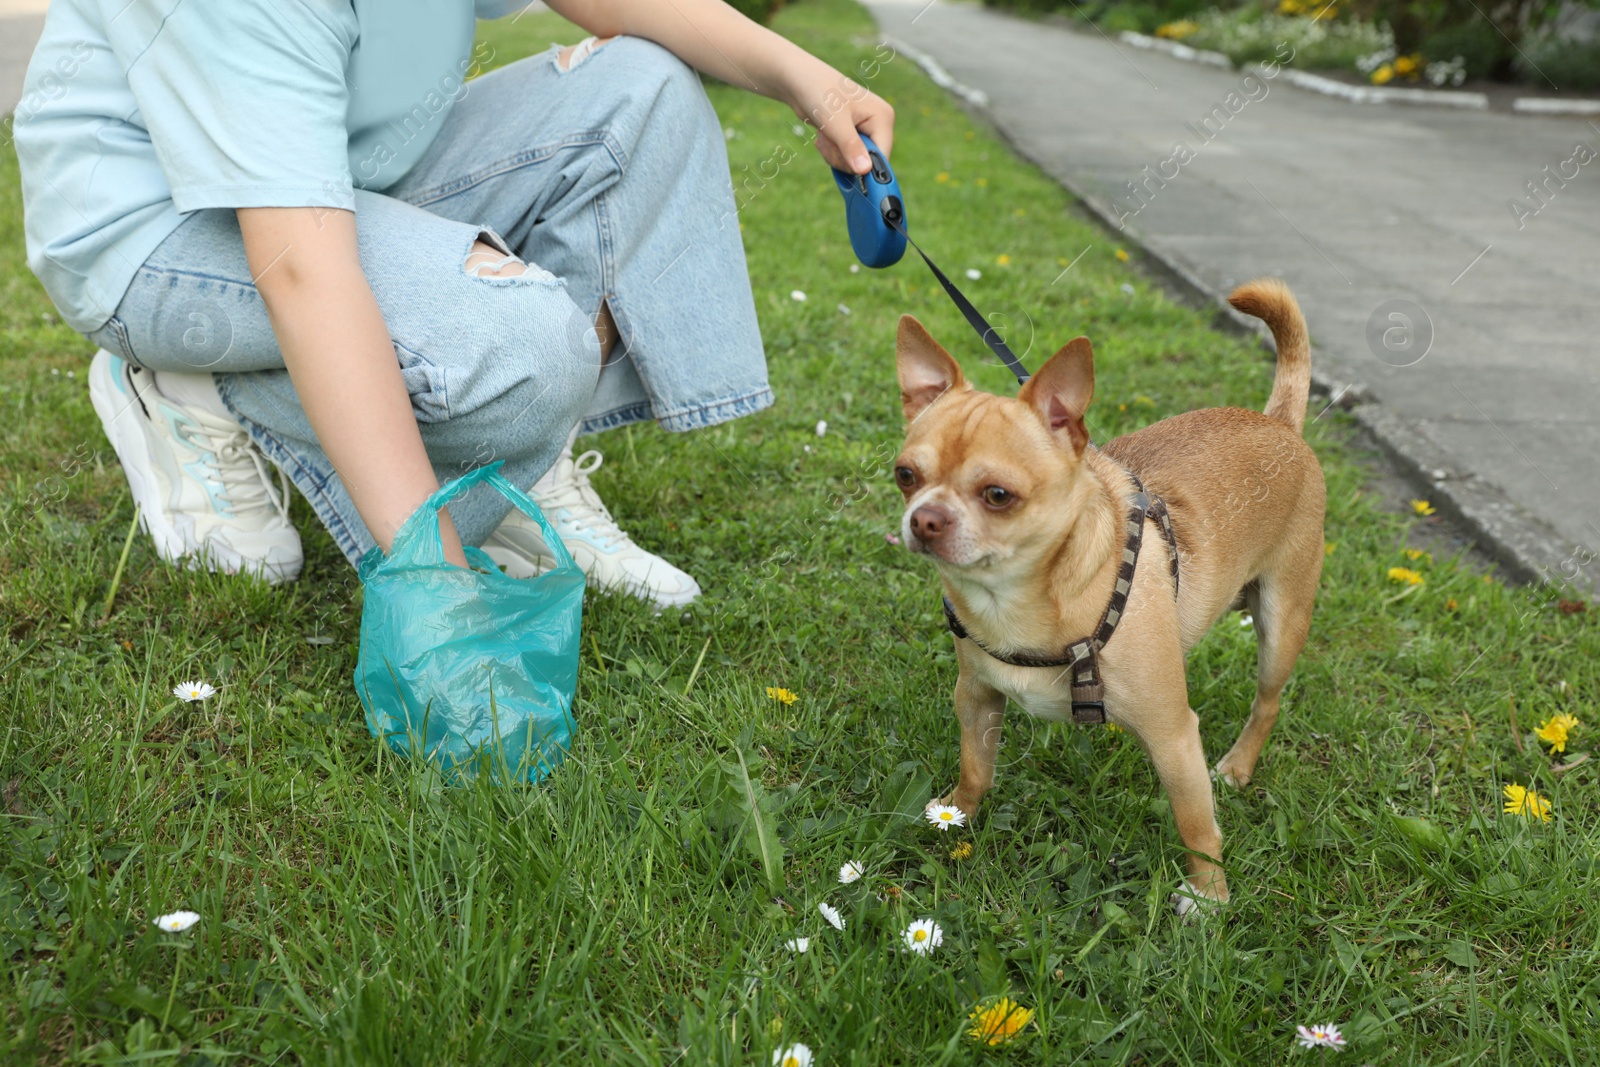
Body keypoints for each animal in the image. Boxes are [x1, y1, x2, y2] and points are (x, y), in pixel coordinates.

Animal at [902, 278, 1324, 908]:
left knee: (1267, 702)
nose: (924, 519)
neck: (1018, 601)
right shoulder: (976, 697)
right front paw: (959, 813)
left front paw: (1209, 897)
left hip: (1281, 620)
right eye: (905, 475)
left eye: (998, 494)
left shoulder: (1174, 737)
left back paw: (1237, 768)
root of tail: (1279, 424)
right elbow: (976, 766)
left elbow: (1195, 823)